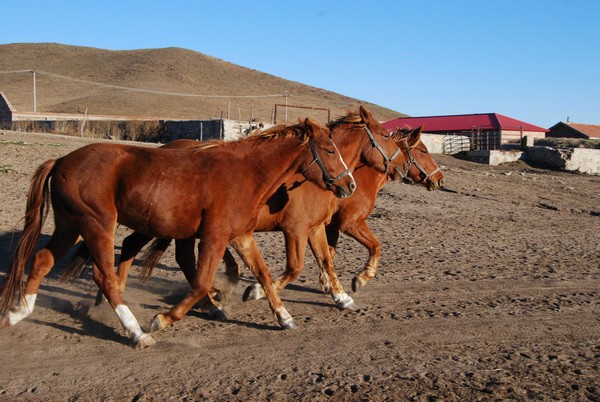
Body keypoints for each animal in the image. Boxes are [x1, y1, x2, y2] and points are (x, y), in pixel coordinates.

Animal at [0, 118, 356, 348]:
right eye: (329, 150)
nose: (349, 185)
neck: (247, 173)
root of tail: (61, 160)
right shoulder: (214, 238)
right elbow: (200, 283)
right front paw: (164, 318)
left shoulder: (241, 236)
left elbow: (265, 276)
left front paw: (283, 316)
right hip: (96, 224)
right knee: (104, 276)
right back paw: (137, 332)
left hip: (70, 226)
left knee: (42, 261)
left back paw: (18, 313)